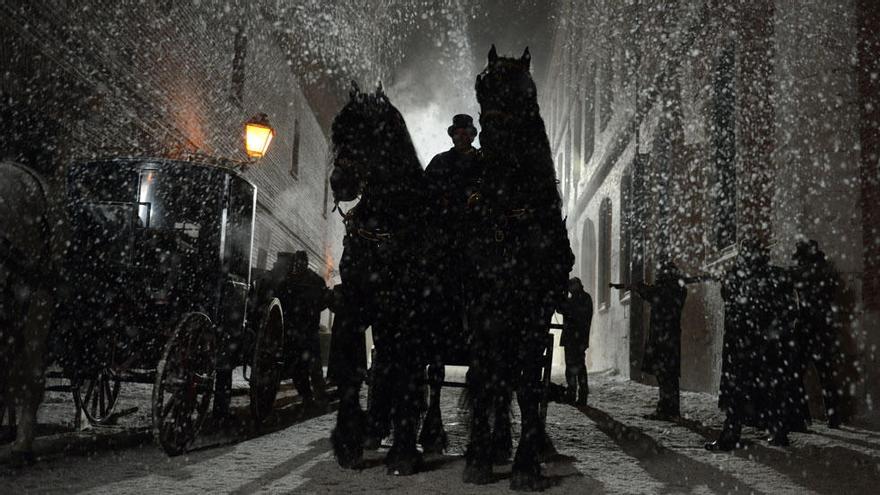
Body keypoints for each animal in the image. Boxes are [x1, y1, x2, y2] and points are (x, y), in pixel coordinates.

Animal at [326, 82, 430, 476]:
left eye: (375, 135)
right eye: (338, 135)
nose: (339, 182)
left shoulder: (411, 314)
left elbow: (408, 373)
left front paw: (403, 452)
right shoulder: (354, 304)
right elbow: (352, 371)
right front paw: (348, 442)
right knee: (384, 361)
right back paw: (375, 427)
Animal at [464, 46, 576, 492]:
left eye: (528, 92)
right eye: (482, 86)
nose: (492, 146)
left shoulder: (534, 312)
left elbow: (529, 383)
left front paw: (526, 465)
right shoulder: (486, 309)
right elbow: (487, 377)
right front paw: (478, 459)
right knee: (496, 376)